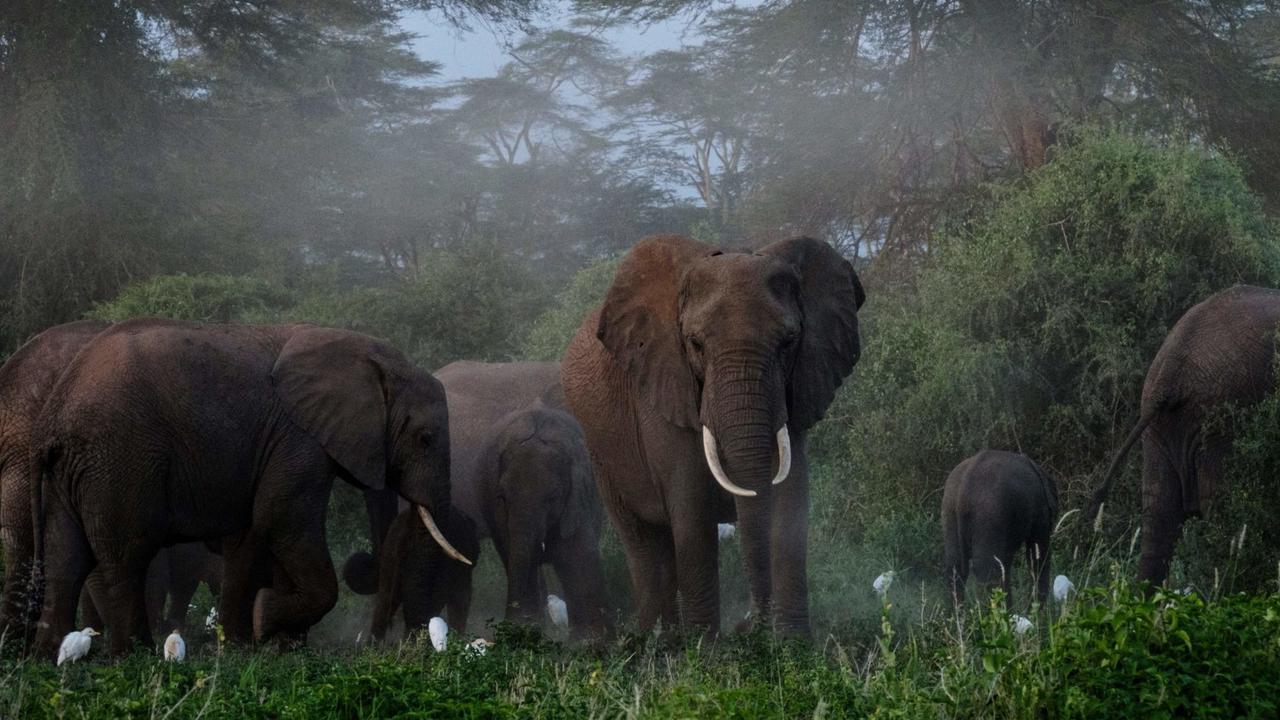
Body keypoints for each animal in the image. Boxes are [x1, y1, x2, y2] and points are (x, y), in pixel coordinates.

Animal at [562, 234, 864, 638]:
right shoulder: (663, 389)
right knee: (644, 544)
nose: (749, 625)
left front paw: (795, 645)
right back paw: (659, 643)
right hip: (601, 454)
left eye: (788, 342)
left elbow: (790, 502)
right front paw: (705, 649)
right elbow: (692, 512)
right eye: (695, 344)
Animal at [941, 450, 1058, 607]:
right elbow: (1038, 554)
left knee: (955, 567)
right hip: (990, 512)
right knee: (988, 571)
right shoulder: (1040, 512)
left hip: (950, 508)